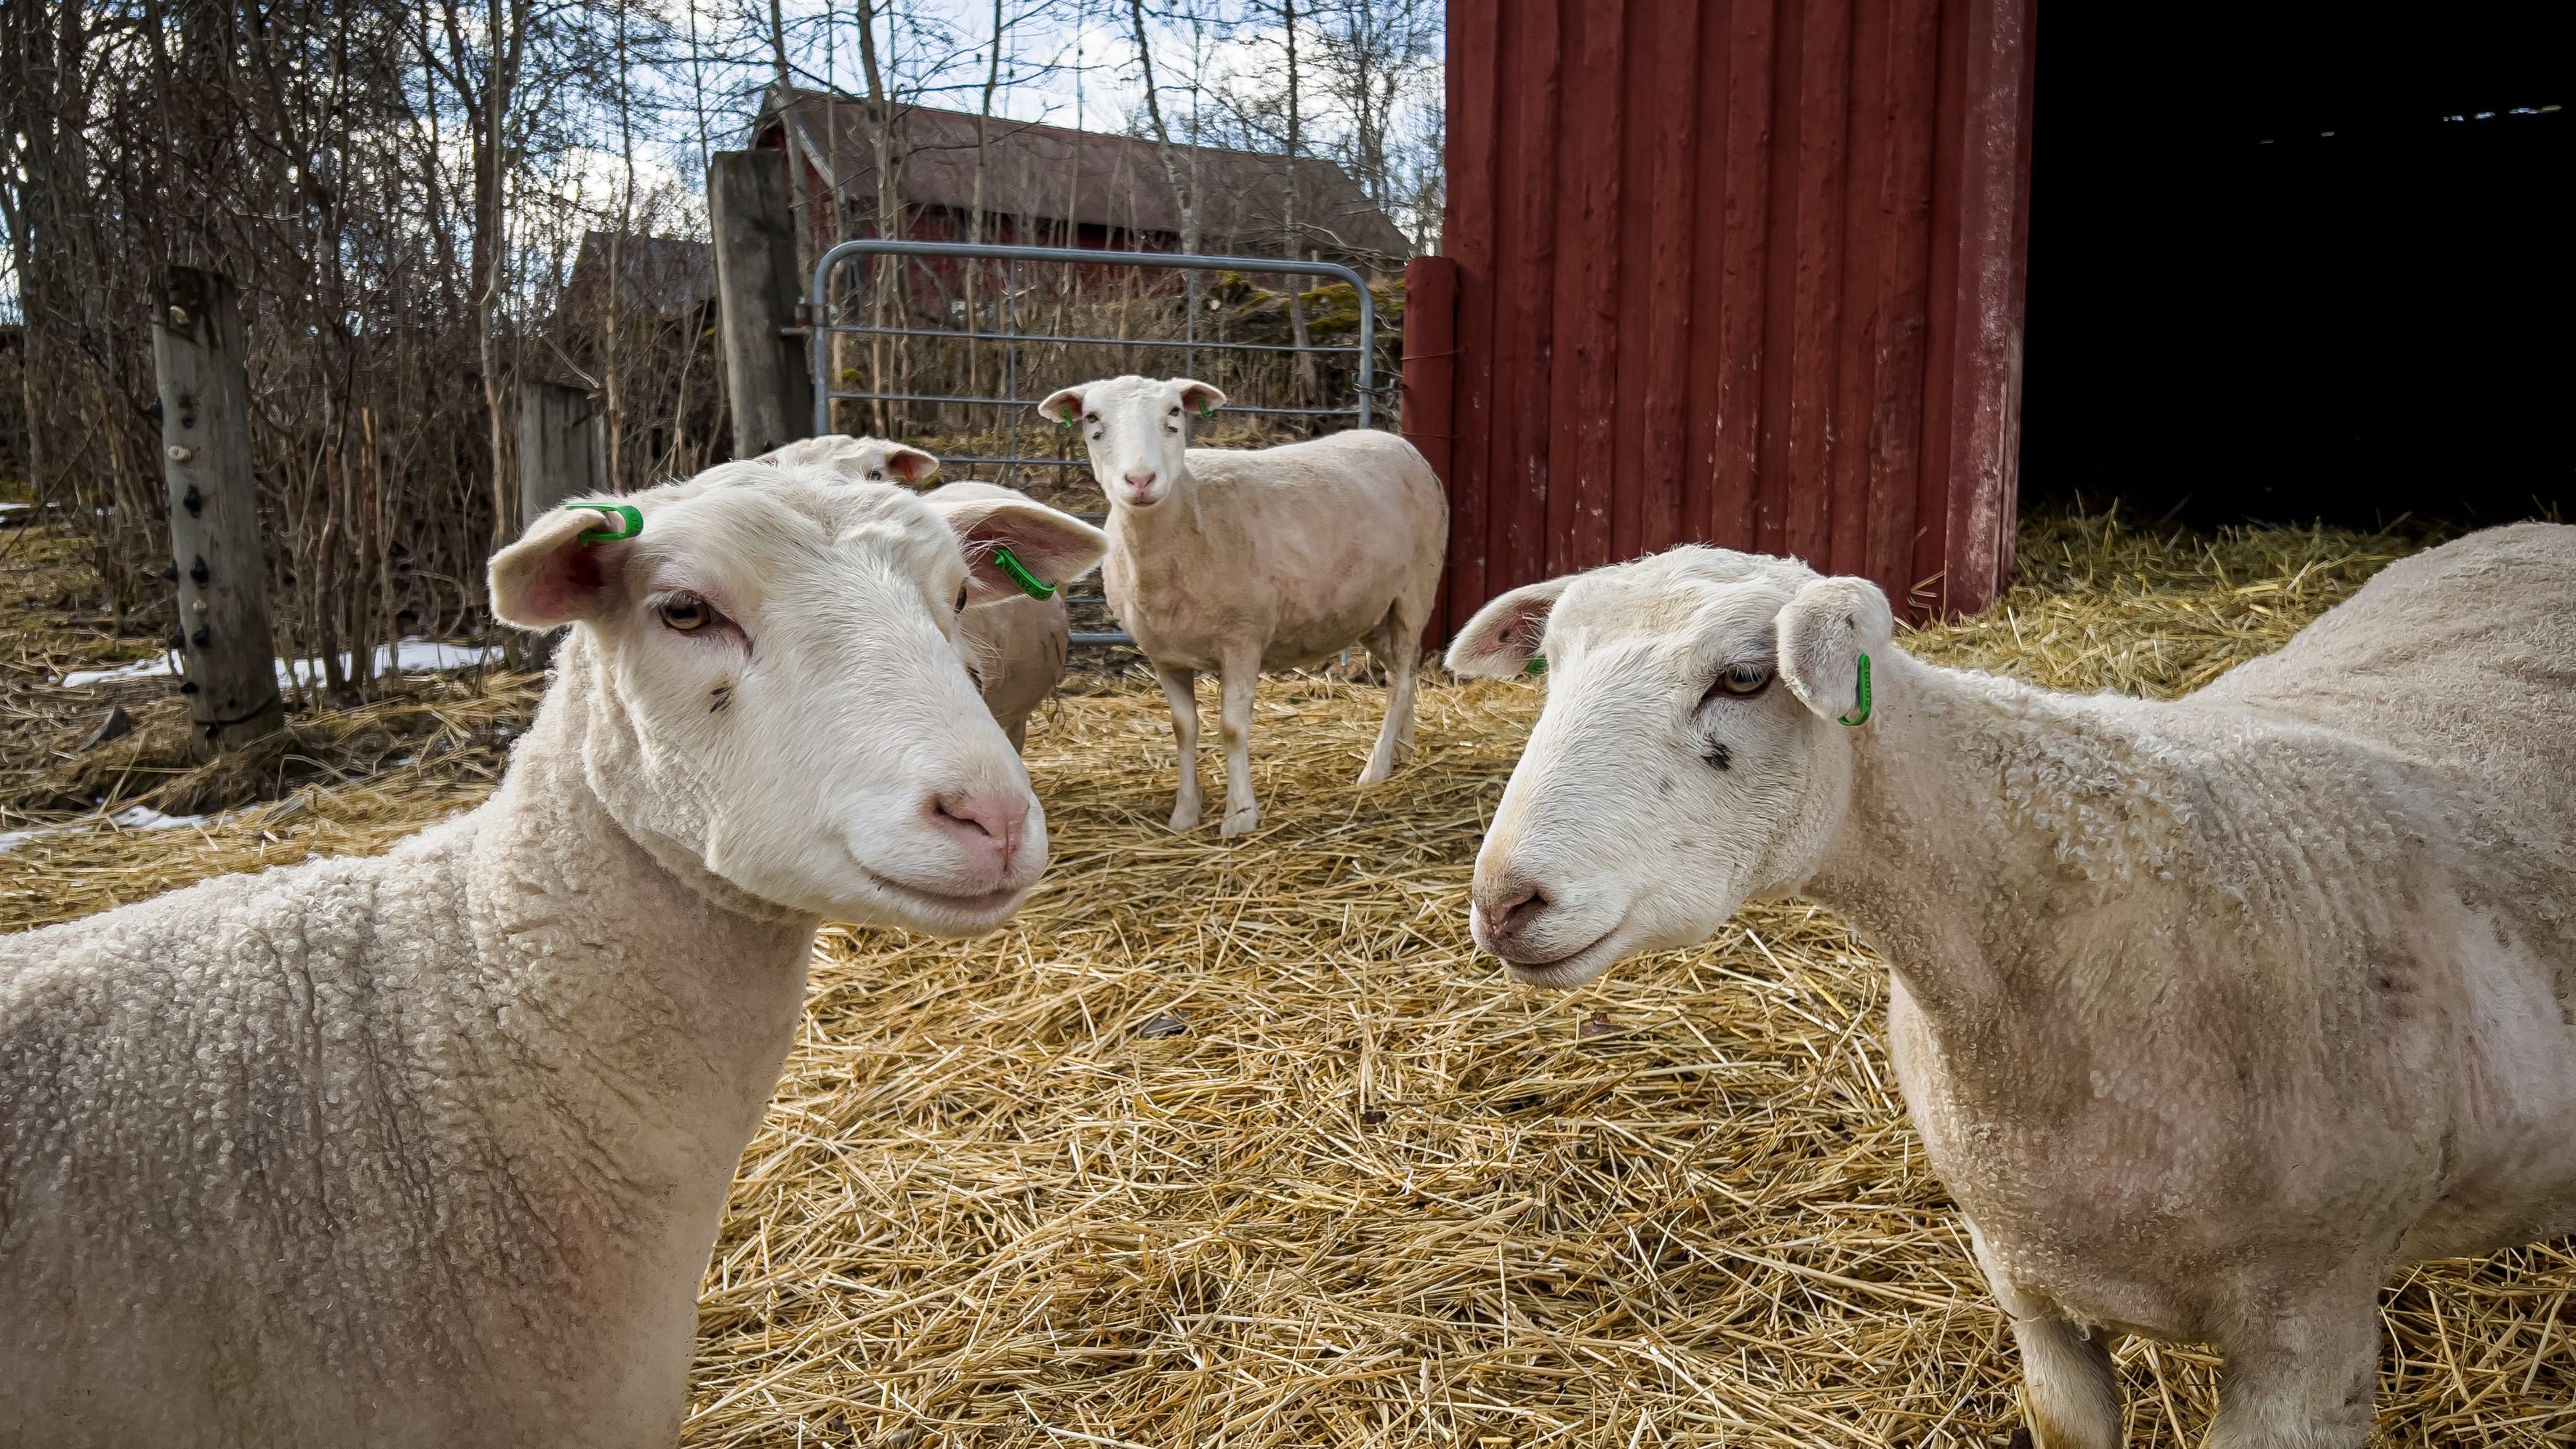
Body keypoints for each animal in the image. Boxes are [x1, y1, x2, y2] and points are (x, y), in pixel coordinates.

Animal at [1040, 373, 1453, 839]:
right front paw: (1185, 815)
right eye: (1092, 418)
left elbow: (1233, 729)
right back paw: (1404, 748)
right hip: (1370, 609)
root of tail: (1400, 443)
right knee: (1409, 668)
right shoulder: (1163, 654)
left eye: (1174, 412)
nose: (1141, 480)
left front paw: (1239, 816)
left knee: (1399, 679)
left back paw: (1377, 767)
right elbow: (1184, 729)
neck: (1188, 515)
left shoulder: (1242, 638)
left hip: (1416, 589)